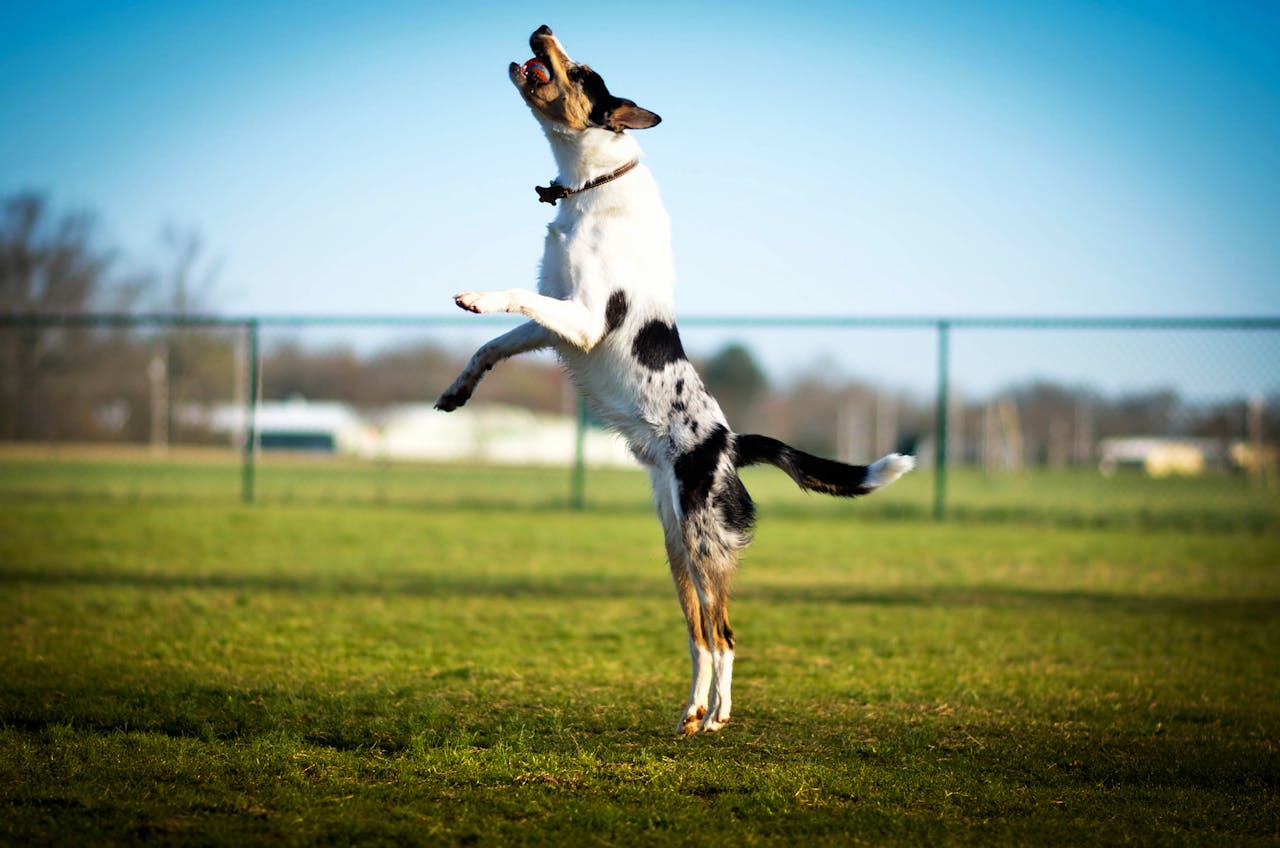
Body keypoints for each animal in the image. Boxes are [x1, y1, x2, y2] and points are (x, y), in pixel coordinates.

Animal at [435, 23, 916, 732]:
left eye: (581, 71)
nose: (542, 28)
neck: (591, 186)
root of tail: (729, 443)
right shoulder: (554, 325)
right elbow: (492, 346)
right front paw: (456, 390)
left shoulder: (583, 320)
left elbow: (511, 299)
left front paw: (475, 294)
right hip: (673, 542)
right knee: (698, 635)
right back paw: (692, 711)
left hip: (702, 538)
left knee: (724, 635)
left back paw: (716, 716)